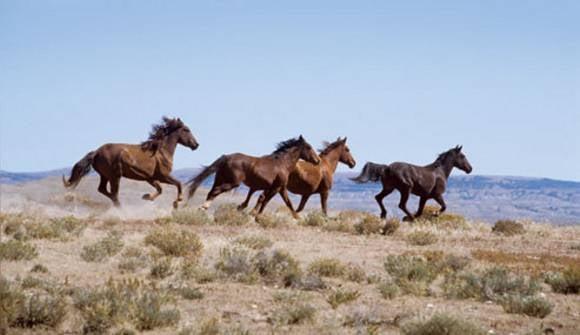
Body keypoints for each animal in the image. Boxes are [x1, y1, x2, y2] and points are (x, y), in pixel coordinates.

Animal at [62, 117, 199, 209]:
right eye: (186, 129)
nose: (196, 145)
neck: (160, 152)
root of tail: (96, 152)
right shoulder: (163, 176)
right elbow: (178, 183)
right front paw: (177, 202)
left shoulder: (150, 178)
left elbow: (160, 189)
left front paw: (146, 197)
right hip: (115, 177)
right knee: (113, 193)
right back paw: (121, 208)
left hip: (105, 176)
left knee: (103, 190)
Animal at [187, 135, 320, 219]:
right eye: (308, 147)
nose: (317, 160)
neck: (282, 163)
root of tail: (226, 157)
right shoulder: (276, 187)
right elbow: (265, 200)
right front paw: (257, 216)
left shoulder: (280, 188)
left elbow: (288, 203)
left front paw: (297, 217)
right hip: (232, 182)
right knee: (215, 191)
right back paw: (203, 207)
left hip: (219, 179)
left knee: (211, 192)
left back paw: (203, 208)